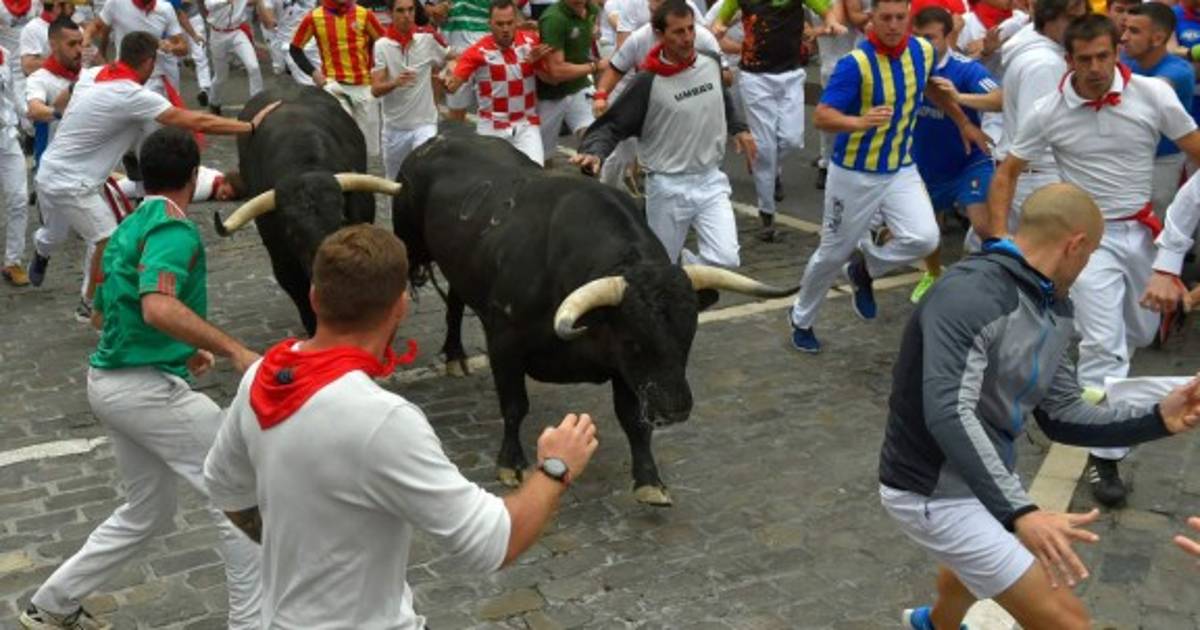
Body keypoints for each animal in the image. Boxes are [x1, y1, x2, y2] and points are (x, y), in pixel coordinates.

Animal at [393, 132, 797, 506]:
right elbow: (514, 405)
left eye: (689, 337)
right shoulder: (505, 342)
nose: (675, 408)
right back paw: (451, 355)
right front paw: (511, 464)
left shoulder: (624, 371)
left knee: (456, 298)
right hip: (410, 247)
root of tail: (439, 139)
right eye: (635, 342)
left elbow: (633, 421)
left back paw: (456, 356)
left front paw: (649, 480)